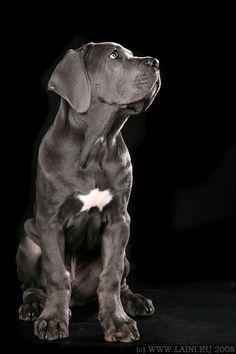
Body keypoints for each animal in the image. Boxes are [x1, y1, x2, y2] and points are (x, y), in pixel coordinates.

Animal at [16, 41, 160, 342]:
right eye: (114, 55)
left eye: (131, 54)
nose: (155, 62)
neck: (98, 144)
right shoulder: (50, 221)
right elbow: (57, 274)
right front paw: (52, 320)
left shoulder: (120, 221)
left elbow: (110, 277)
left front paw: (118, 321)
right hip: (29, 243)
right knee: (32, 285)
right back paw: (34, 305)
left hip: (125, 254)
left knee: (121, 281)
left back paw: (135, 300)